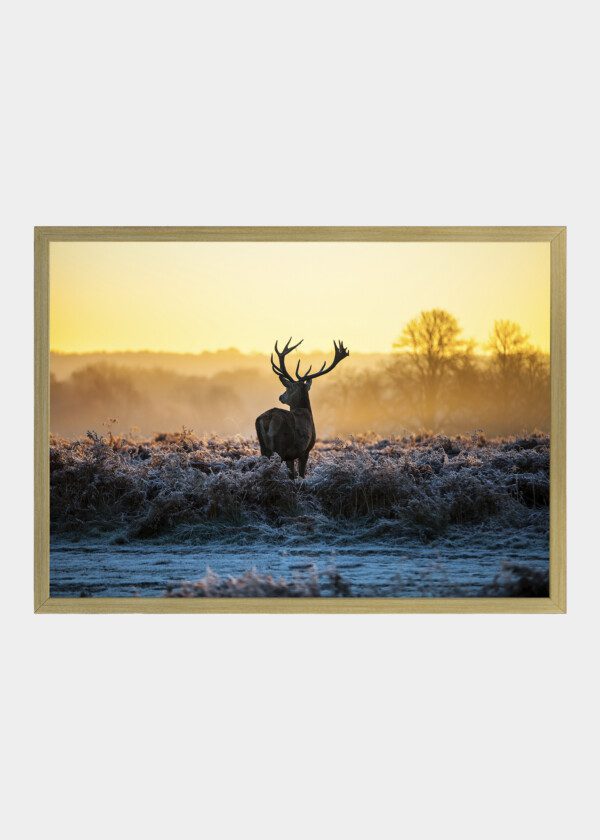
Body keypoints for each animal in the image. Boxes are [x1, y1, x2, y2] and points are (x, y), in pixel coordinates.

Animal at [255, 337, 350, 478]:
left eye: (288, 388)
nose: (281, 397)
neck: (306, 411)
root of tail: (268, 419)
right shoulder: (305, 450)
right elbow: (300, 474)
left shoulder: (291, 456)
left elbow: (293, 475)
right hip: (280, 447)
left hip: (264, 448)